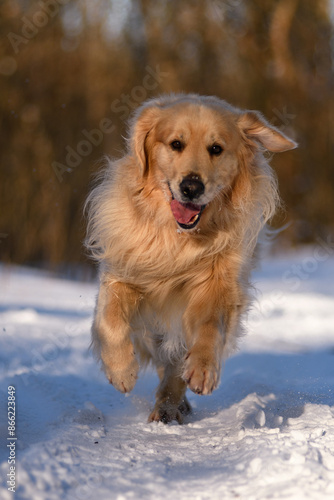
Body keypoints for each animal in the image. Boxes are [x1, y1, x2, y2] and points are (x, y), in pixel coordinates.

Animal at [85, 93, 296, 422]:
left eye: (216, 148)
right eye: (176, 144)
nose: (191, 187)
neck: (177, 239)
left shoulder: (218, 284)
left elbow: (209, 326)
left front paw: (202, 368)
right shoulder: (122, 273)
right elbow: (110, 320)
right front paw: (121, 371)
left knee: (173, 363)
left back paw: (169, 406)